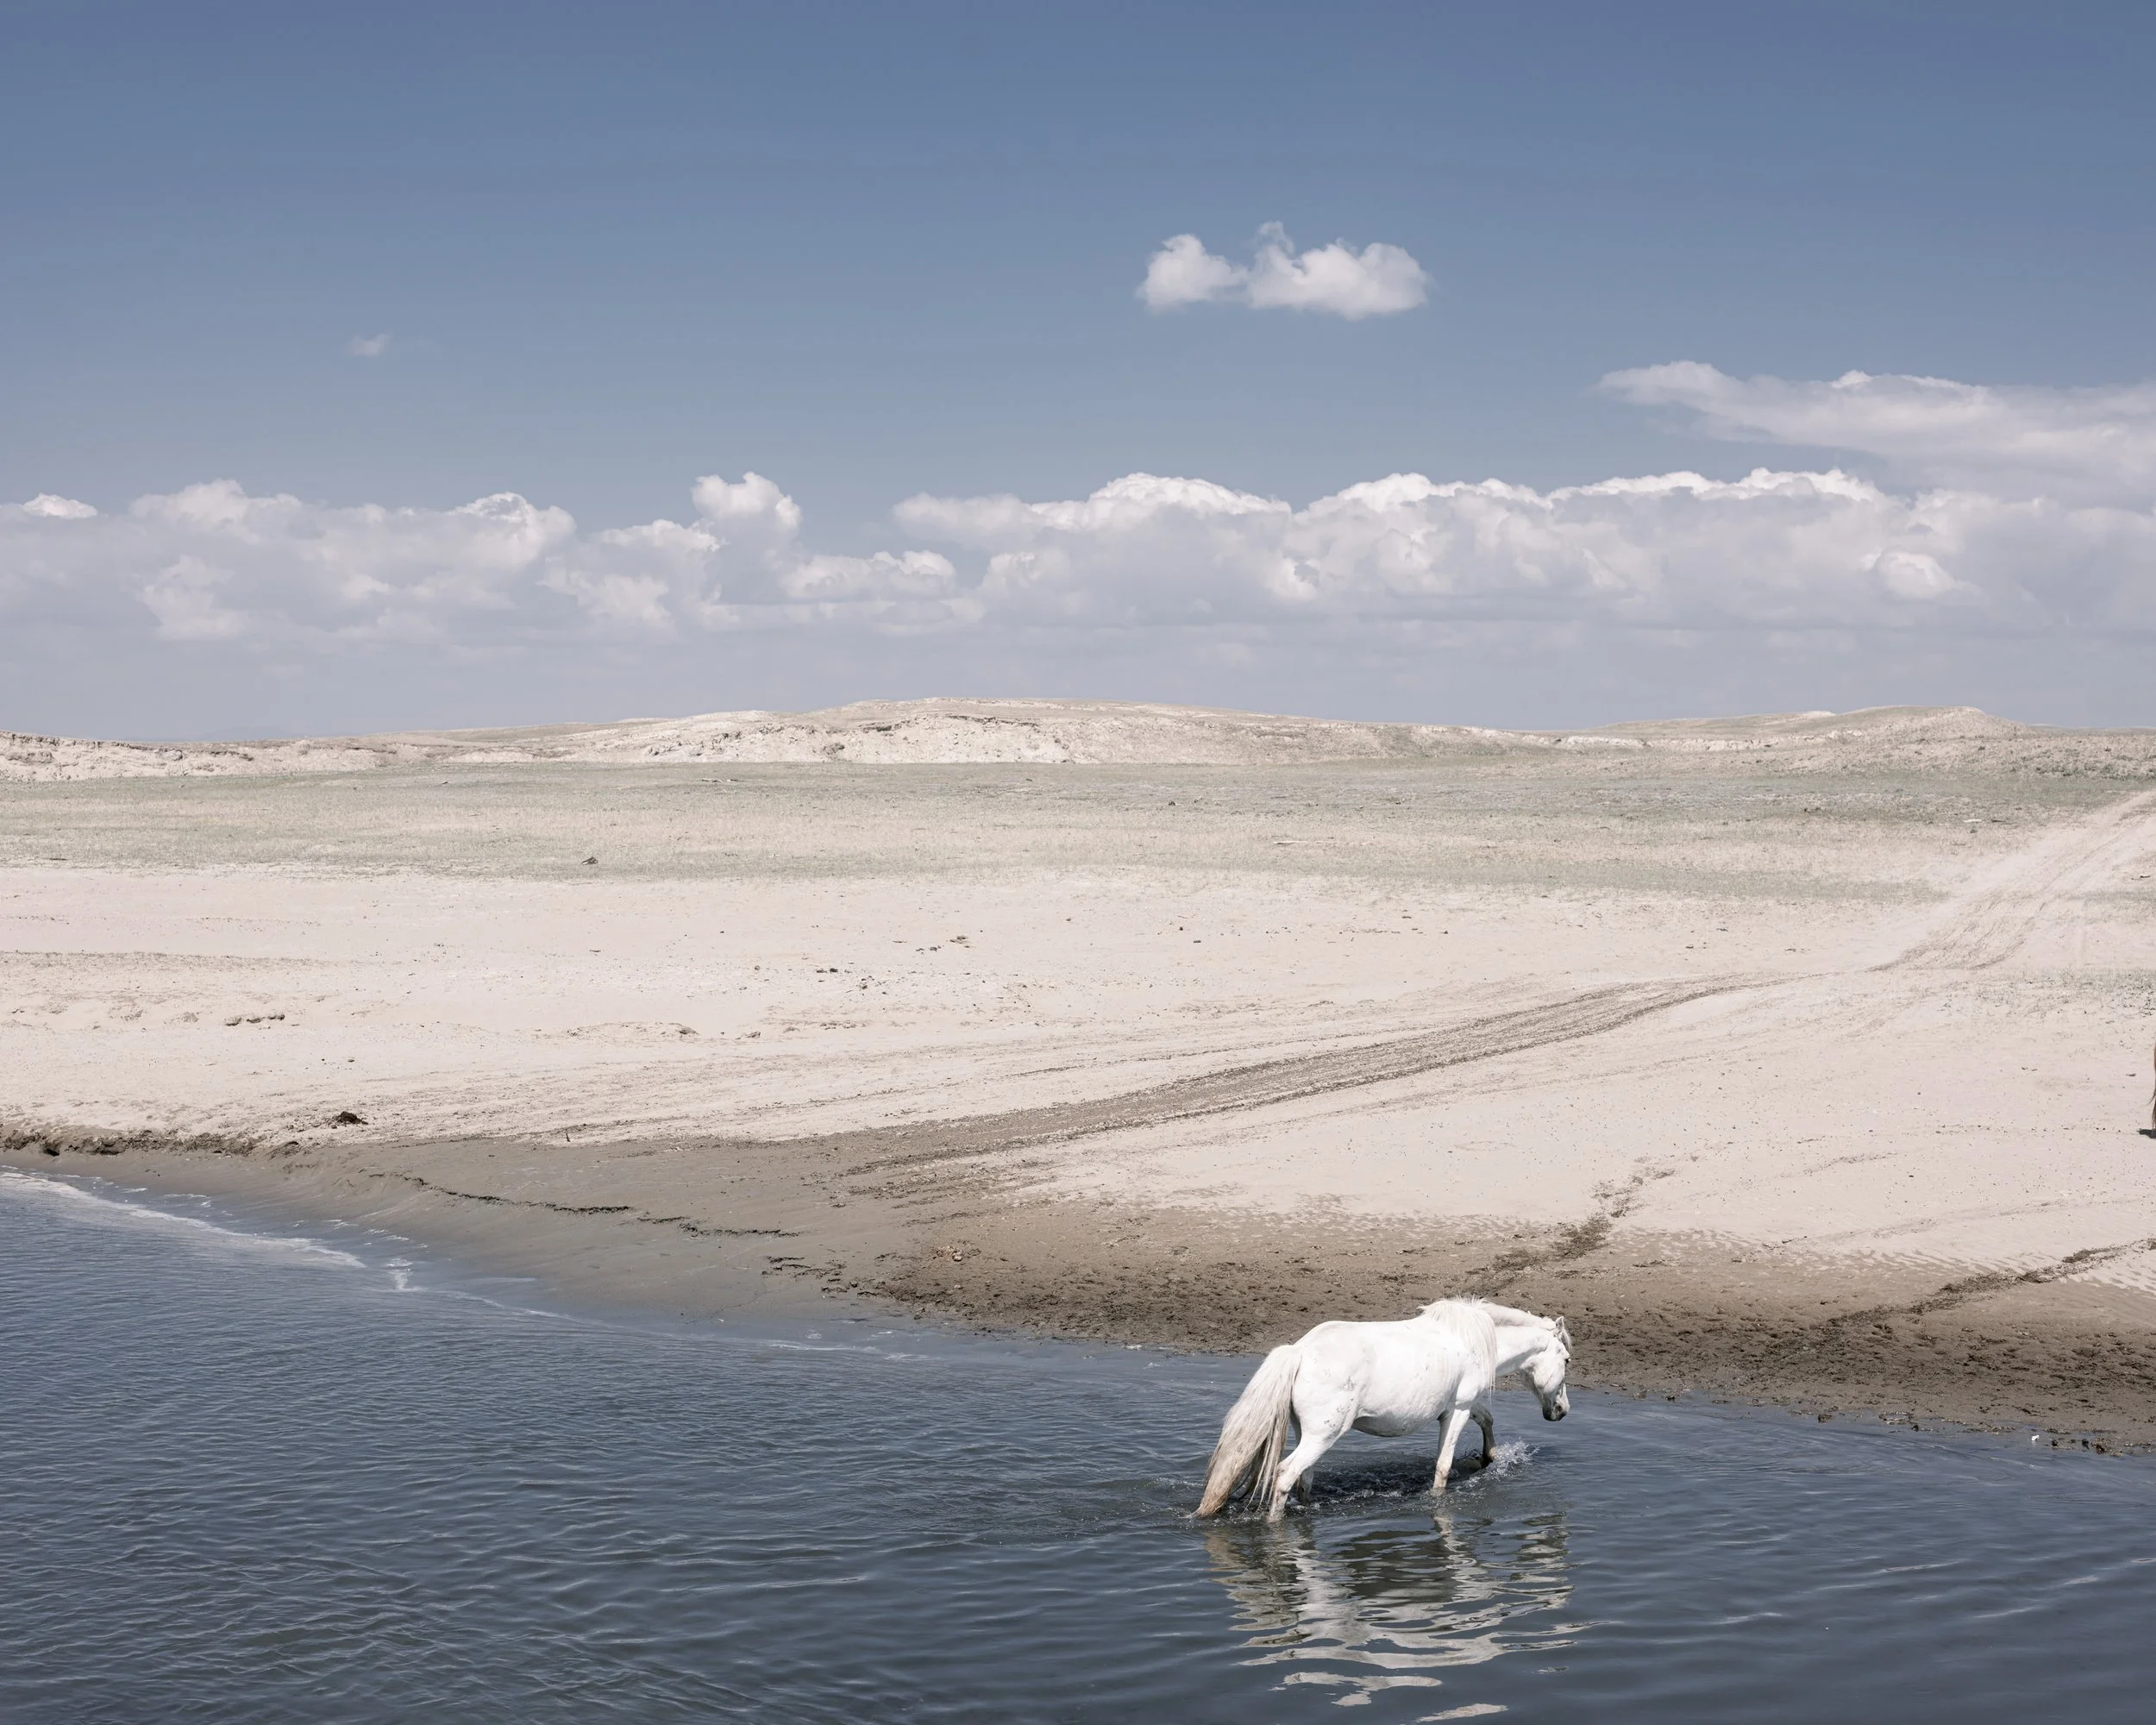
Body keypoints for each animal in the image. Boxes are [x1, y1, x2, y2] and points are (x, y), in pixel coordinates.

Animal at [1195, 1298, 1572, 1520]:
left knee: (1305, 1480)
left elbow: (1487, 1419)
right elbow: (1443, 1467)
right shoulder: (1459, 1409)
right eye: (1566, 1360)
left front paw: (1491, 1457)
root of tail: (1299, 1351)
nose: (1562, 1411)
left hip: (1307, 1434)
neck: (1476, 1339)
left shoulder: (1455, 1407)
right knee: (1285, 1474)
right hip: (1323, 1436)